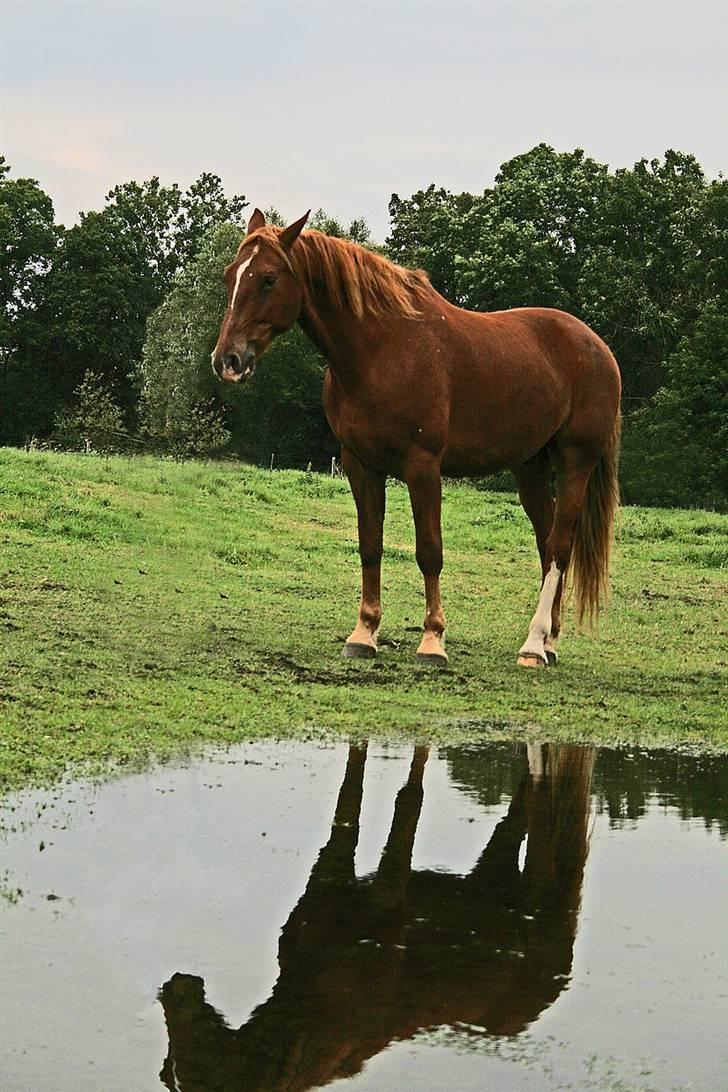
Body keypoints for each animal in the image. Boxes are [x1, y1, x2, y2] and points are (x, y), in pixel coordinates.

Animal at [159, 742, 593, 1092]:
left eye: (198, 1070)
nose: (173, 988)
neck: (321, 1008)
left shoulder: (387, 898)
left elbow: (409, 800)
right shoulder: (333, 865)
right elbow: (351, 793)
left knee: (538, 802)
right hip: (492, 873)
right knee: (517, 812)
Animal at [211, 205, 619, 663]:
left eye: (267, 278)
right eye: (229, 276)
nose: (227, 360)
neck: (382, 351)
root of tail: (599, 348)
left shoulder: (423, 466)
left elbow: (430, 551)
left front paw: (433, 639)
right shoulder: (360, 463)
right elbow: (370, 543)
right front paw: (364, 633)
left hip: (575, 462)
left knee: (560, 545)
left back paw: (533, 644)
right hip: (529, 467)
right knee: (546, 544)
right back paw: (548, 641)